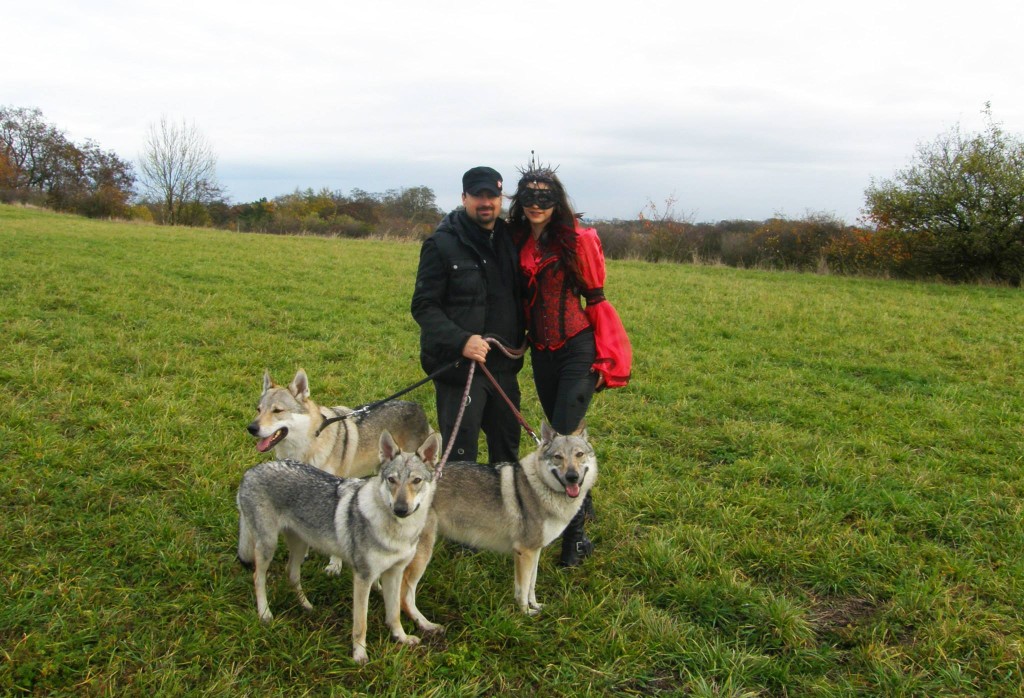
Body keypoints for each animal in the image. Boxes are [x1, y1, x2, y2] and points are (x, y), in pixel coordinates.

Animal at [236, 429, 440, 663]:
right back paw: (265, 614)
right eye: (392, 480)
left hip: (300, 546)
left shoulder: (395, 573)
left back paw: (306, 605)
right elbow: (361, 623)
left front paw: (402, 638)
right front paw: (359, 655)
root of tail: (250, 472)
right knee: (258, 578)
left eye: (416, 480)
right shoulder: (363, 578)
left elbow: (395, 613)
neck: (398, 532)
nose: (400, 509)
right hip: (268, 546)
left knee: (291, 574)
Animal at [397, 419, 598, 630]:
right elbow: (523, 589)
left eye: (579, 454)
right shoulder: (525, 552)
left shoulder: (534, 551)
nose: (572, 476)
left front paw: (536, 606)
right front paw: (525, 614)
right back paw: (426, 626)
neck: (541, 488)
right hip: (421, 556)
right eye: (558, 457)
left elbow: (531, 585)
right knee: (404, 596)